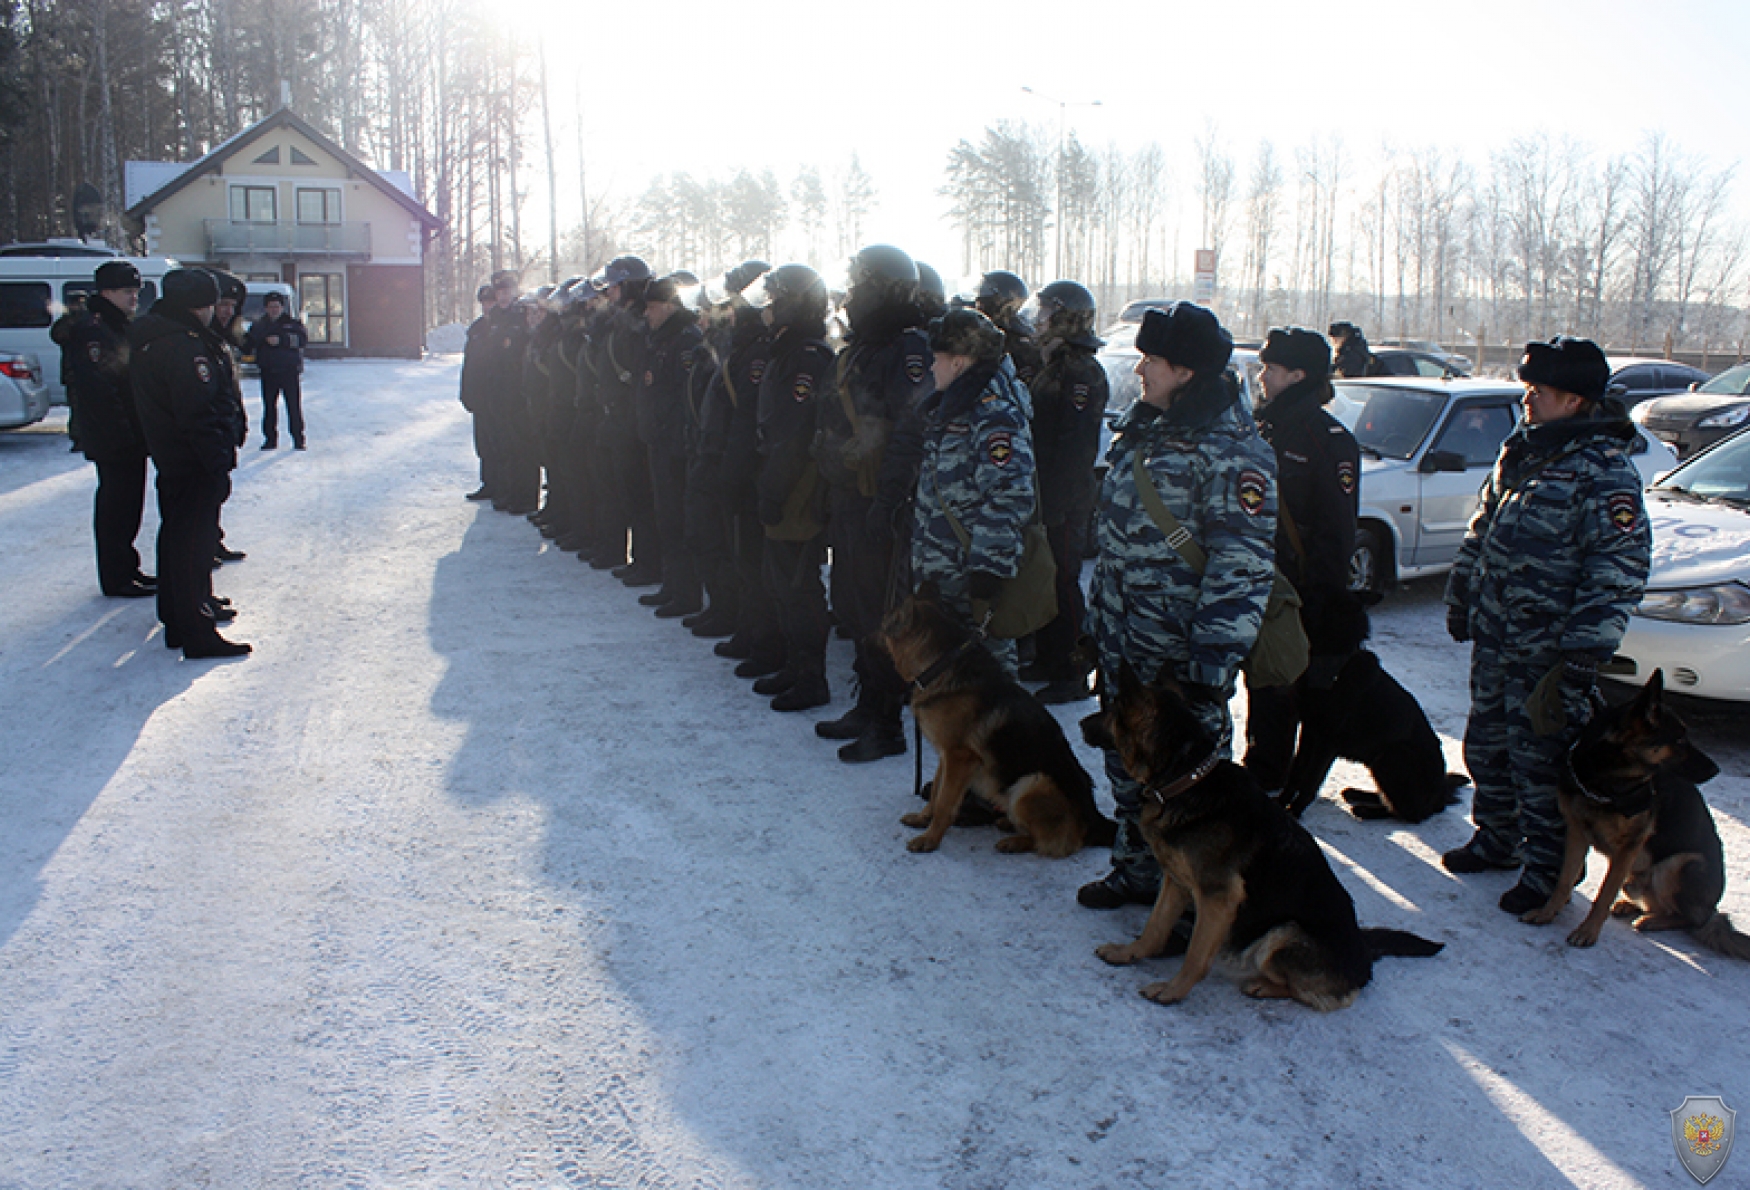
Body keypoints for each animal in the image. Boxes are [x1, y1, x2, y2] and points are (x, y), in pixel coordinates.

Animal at [882, 584, 1113, 854]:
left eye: (887, 619)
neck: (942, 664)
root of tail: (1094, 820)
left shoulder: (960, 757)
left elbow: (945, 804)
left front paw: (930, 839)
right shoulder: (946, 755)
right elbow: (937, 792)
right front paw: (922, 819)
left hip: (1031, 784)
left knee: (1054, 843)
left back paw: (1015, 840)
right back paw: (1007, 823)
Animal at [1085, 665, 1442, 1008]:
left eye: (1111, 708)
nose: (1079, 722)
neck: (1188, 779)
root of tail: (1364, 953)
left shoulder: (1217, 899)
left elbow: (1195, 956)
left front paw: (1173, 991)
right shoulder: (1176, 882)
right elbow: (1155, 927)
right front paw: (1129, 953)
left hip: (1282, 933)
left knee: (1320, 997)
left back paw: (1263, 986)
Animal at [1281, 591, 1470, 822]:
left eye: (1316, 595)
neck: (1333, 667)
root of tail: (1441, 793)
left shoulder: (1327, 742)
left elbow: (1310, 781)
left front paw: (1294, 812)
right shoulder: (1309, 730)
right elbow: (1296, 772)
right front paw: (1280, 803)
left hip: (1391, 756)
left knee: (1410, 814)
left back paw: (1364, 809)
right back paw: (1357, 794)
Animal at [1519, 668, 1750, 959]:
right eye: (1679, 739)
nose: (1716, 769)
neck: (1605, 780)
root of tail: (1712, 910)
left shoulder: (1628, 847)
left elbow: (1603, 894)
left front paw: (1587, 932)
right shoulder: (1577, 833)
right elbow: (1563, 880)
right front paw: (1547, 913)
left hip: (1678, 865)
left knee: (1690, 919)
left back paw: (1652, 920)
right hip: (1635, 878)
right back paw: (1631, 907)